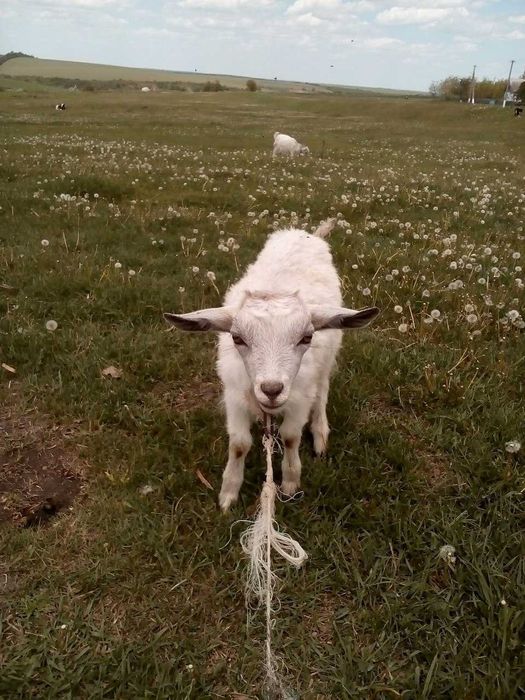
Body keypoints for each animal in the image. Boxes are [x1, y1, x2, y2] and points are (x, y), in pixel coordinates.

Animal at [164, 220, 379, 510]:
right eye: (237, 338)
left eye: (306, 337)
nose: (272, 389)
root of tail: (306, 233)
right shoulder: (234, 394)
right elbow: (239, 444)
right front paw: (228, 493)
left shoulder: (299, 397)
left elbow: (290, 436)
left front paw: (289, 482)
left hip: (327, 358)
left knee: (323, 389)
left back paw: (320, 433)